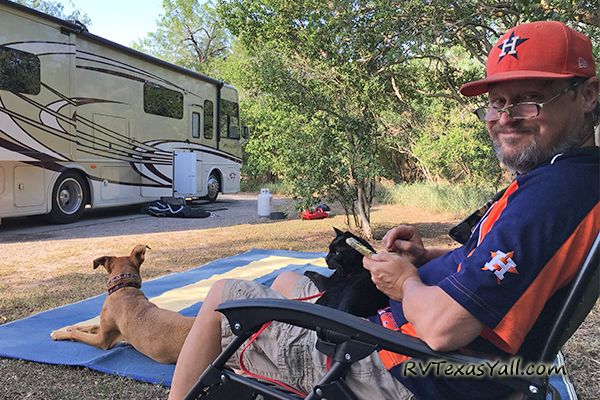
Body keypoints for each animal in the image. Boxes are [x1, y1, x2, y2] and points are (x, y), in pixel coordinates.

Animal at [50, 245, 195, 364]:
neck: (124, 286)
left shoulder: (102, 340)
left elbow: (77, 335)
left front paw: (59, 334)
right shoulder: (106, 329)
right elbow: (91, 326)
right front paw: (70, 327)